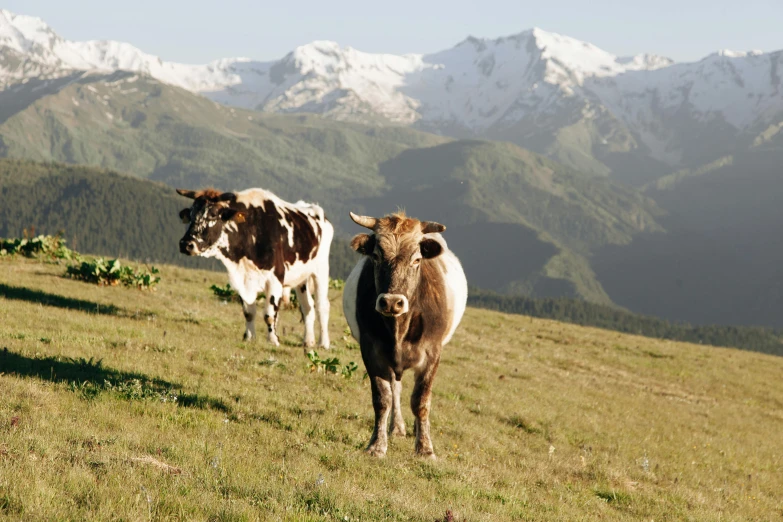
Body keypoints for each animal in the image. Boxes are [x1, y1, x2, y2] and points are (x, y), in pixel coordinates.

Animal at [178, 185, 334, 348]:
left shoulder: (275, 277)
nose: (186, 244)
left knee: (322, 306)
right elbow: (248, 312)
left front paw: (273, 339)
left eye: (213, 215)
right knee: (307, 306)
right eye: (191, 214)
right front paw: (249, 337)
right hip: (301, 277)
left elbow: (269, 314)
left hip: (321, 270)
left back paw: (323, 343)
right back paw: (308, 341)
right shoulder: (243, 279)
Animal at [344, 208, 466, 456]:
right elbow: (383, 399)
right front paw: (377, 445)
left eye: (417, 259)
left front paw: (425, 449)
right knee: (396, 390)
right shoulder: (371, 351)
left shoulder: (432, 354)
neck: (398, 329)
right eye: (376, 256)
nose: (392, 302)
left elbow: (421, 401)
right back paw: (397, 427)